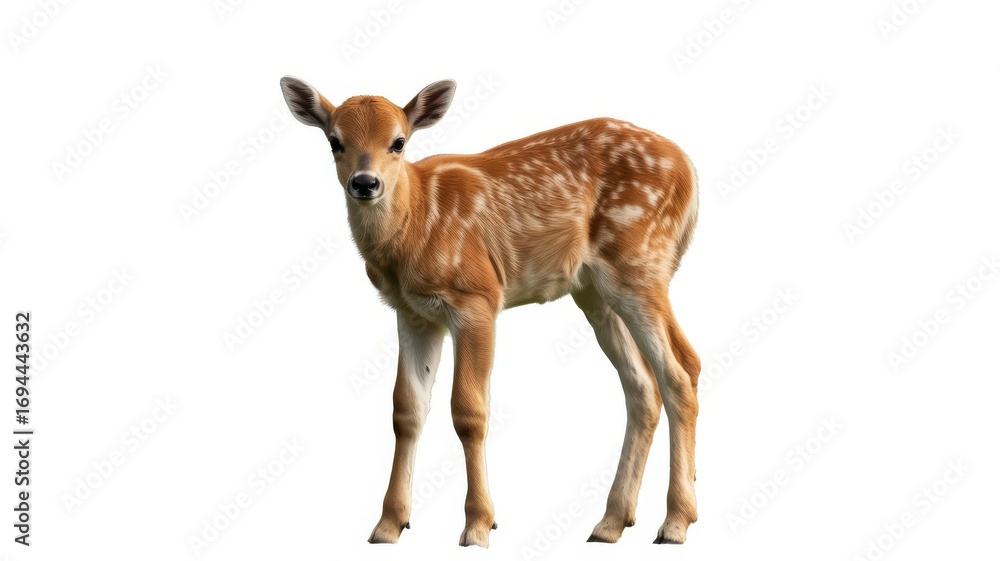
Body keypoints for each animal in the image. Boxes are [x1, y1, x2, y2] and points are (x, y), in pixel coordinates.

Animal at [280, 76, 701, 547]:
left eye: (398, 142)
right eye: (334, 141)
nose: (365, 183)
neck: (417, 221)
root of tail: (689, 169)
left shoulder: (477, 297)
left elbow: (469, 411)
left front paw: (479, 524)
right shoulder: (413, 312)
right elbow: (406, 410)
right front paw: (388, 525)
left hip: (640, 259)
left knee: (682, 369)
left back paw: (675, 522)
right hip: (594, 289)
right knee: (642, 385)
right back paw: (610, 523)